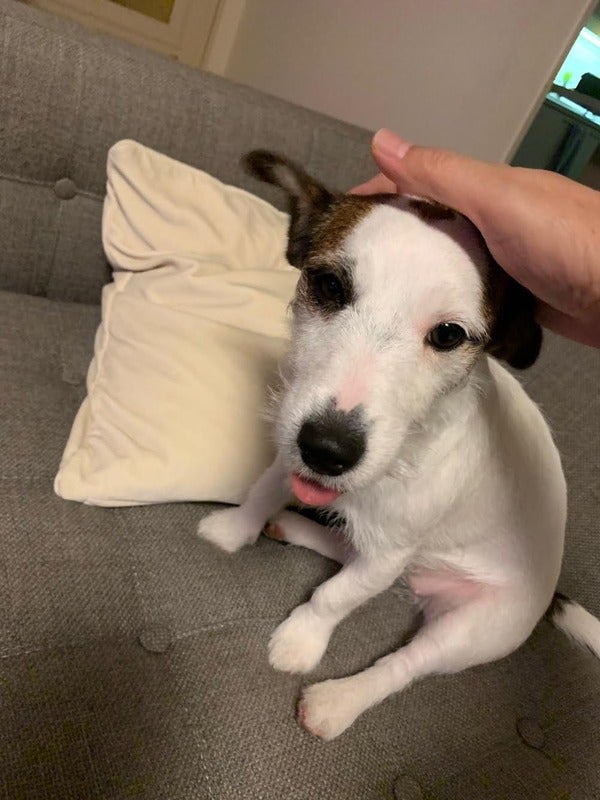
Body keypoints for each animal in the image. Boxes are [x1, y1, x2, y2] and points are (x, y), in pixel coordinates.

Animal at [198, 150, 600, 740]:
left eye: (449, 335)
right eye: (329, 286)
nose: (327, 450)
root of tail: (550, 595)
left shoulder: (391, 551)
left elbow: (335, 597)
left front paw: (301, 640)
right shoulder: (293, 445)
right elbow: (266, 487)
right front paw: (235, 529)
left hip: (474, 627)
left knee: (403, 661)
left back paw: (338, 702)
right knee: (349, 551)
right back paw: (291, 526)